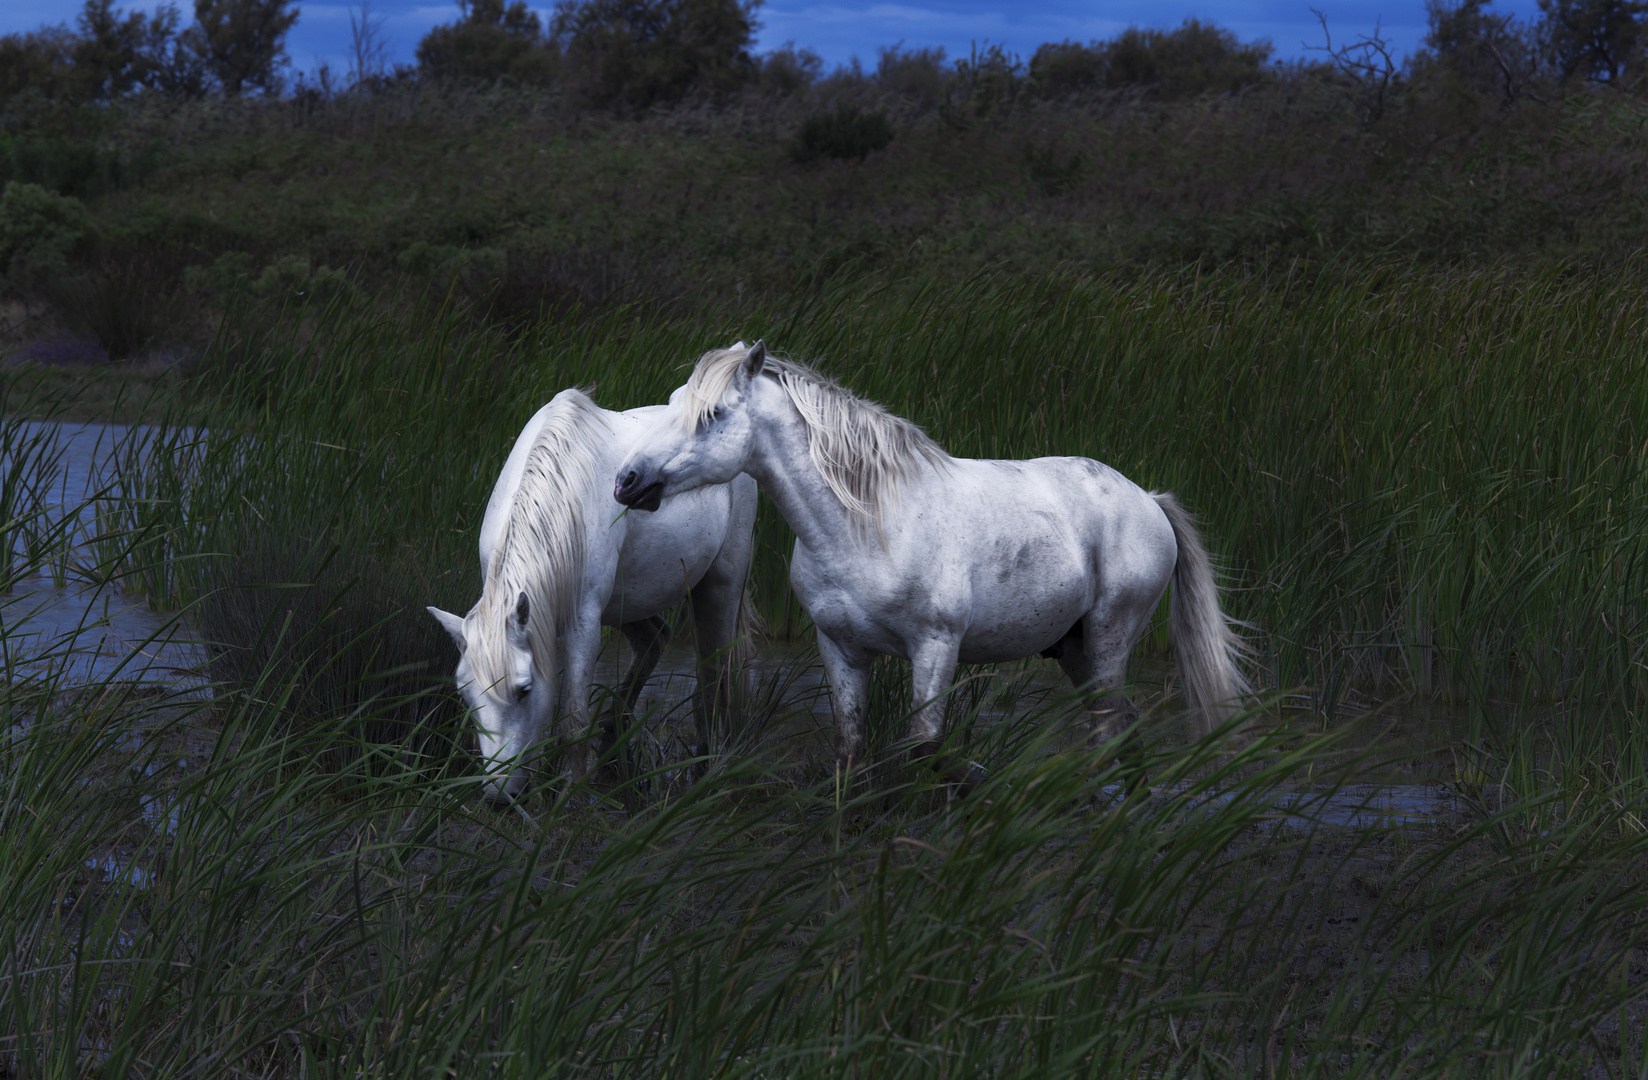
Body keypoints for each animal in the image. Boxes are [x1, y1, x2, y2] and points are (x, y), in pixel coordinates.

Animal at [425, 389, 758, 801]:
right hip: (627, 602)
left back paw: (703, 771)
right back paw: (614, 754)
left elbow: (573, 721)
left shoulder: (582, 622)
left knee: (714, 677)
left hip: (721, 583)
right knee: (655, 640)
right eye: (465, 696)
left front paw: (573, 797)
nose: (500, 796)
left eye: (524, 690)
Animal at [619, 342, 1245, 781]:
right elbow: (851, 752)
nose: (628, 480)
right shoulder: (840, 649)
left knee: (1107, 733)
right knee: (1123, 731)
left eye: (711, 415)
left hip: (1110, 638)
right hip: (1074, 648)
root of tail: (1149, 501)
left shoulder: (935, 648)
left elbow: (924, 750)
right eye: (671, 406)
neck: (868, 528)